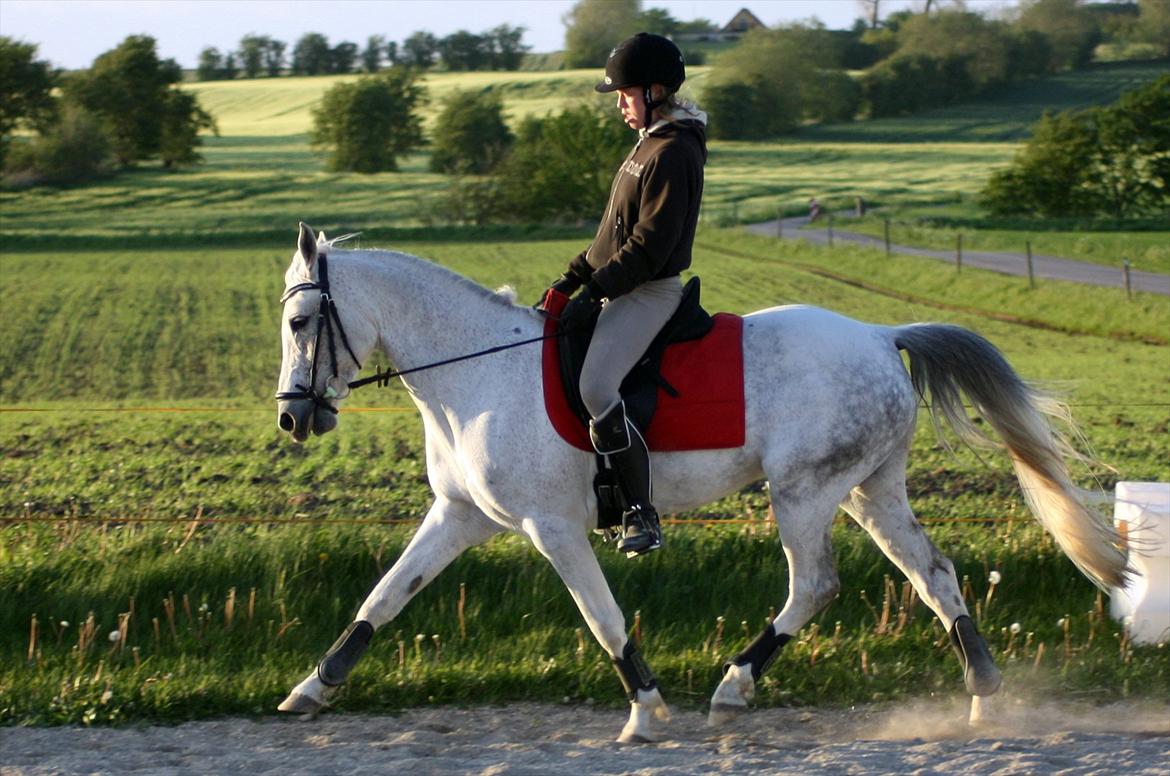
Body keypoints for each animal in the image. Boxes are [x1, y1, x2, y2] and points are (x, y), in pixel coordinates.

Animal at [271, 223, 1123, 739]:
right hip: (869, 489)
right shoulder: (457, 515)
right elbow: (383, 599)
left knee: (815, 584)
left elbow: (604, 617)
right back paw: (983, 694)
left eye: (299, 323)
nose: (291, 418)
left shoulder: (553, 527)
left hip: (805, 492)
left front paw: (646, 712)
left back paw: (734, 686)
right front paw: (310, 689)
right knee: (933, 573)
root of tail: (883, 336)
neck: (476, 372)